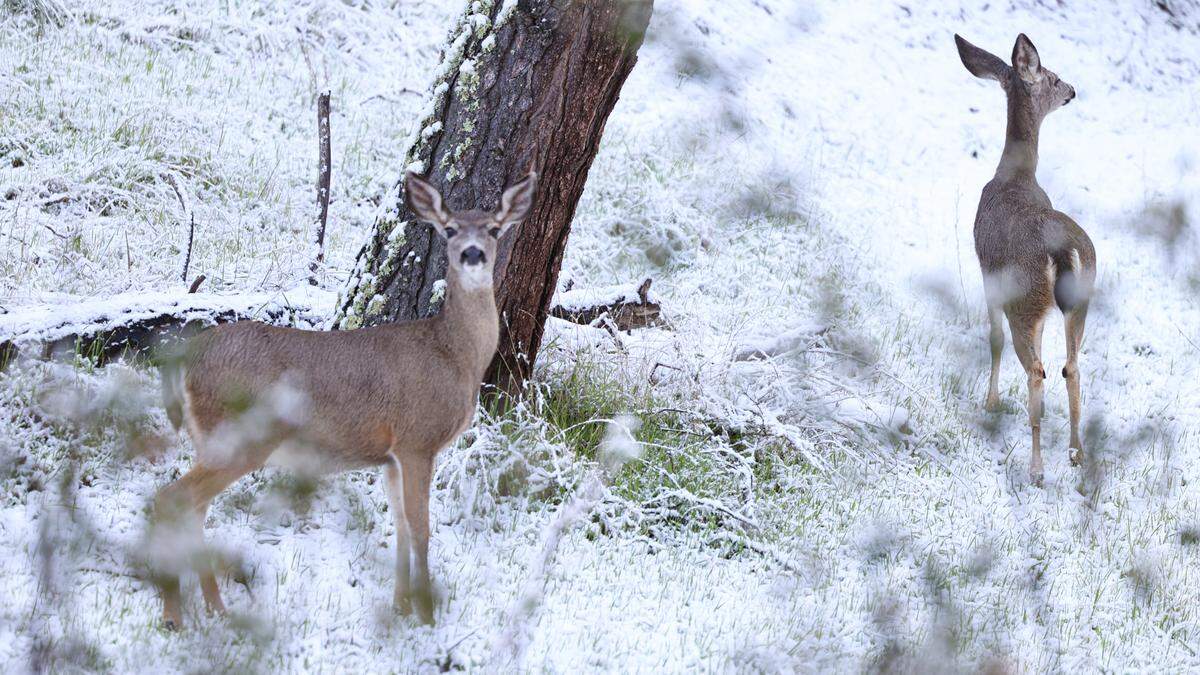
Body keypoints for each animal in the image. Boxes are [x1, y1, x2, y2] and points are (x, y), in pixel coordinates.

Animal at [152, 171, 537, 628]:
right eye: (449, 229)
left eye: (494, 229)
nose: (473, 253)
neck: (455, 355)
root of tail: (187, 358)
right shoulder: (417, 439)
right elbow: (421, 527)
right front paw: (426, 616)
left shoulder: (391, 456)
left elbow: (401, 525)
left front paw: (401, 605)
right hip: (241, 437)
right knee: (171, 499)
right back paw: (174, 614)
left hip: (212, 440)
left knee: (193, 508)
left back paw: (215, 607)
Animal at [954, 33, 1096, 486]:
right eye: (1054, 77)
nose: (1072, 89)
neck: (1015, 176)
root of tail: (1061, 249)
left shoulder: (989, 274)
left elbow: (993, 338)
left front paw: (991, 401)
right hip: (1079, 298)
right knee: (1071, 366)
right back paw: (1076, 454)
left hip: (1024, 297)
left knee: (1035, 369)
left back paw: (1036, 468)